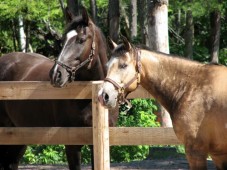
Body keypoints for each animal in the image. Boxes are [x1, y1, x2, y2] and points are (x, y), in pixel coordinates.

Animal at [0, 8, 119, 170]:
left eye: (81, 39)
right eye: (62, 41)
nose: (56, 74)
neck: (91, 95)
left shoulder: (98, 146)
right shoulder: (72, 145)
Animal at [99, 36, 227, 169]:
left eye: (123, 65)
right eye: (107, 66)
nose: (104, 96)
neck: (193, 87)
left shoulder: (196, 152)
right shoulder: (218, 155)